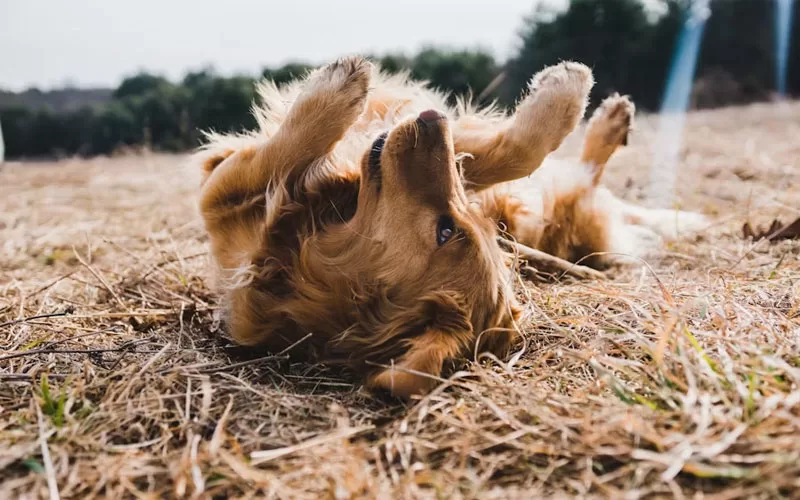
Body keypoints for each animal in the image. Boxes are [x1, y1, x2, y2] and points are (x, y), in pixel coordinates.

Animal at [194, 55, 708, 398]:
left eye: (448, 230)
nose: (432, 118)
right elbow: (510, 153)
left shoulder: (220, 196)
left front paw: (334, 92)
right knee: (582, 177)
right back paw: (612, 120)